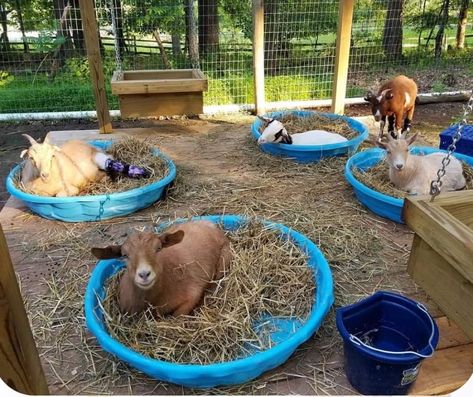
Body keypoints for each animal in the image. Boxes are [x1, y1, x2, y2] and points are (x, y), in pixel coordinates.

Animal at [91, 220, 231, 316]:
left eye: (158, 248)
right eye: (125, 255)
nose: (144, 274)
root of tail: (210, 224)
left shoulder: (192, 292)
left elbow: (178, 315)